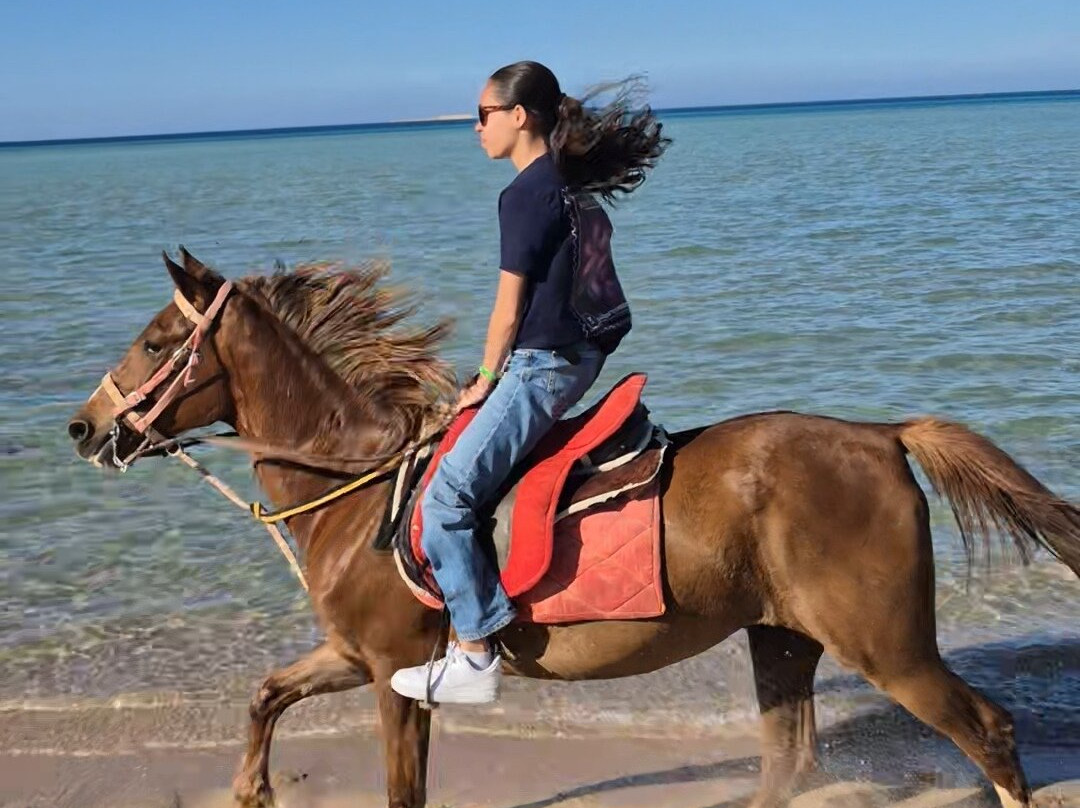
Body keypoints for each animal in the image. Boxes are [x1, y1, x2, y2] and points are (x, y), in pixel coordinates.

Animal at [67, 249, 1080, 808]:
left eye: (157, 342)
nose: (83, 427)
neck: (358, 486)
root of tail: (880, 434)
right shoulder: (356, 655)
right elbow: (265, 693)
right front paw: (250, 789)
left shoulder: (395, 674)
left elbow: (400, 788)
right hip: (782, 637)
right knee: (788, 761)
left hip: (888, 646)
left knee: (988, 732)